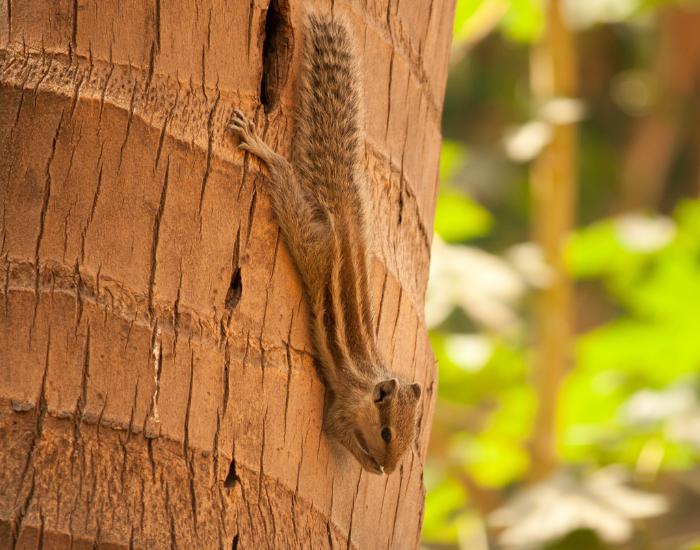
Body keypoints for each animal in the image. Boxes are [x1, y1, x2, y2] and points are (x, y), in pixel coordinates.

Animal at [227, 11, 422, 475]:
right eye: (386, 434)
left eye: (409, 441)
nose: (391, 469)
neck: (369, 382)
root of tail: (347, 224)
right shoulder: (343, 409)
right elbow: (336, 430)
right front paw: (370, 466)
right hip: (311, 241)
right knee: (284, 179)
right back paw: (263, 149)